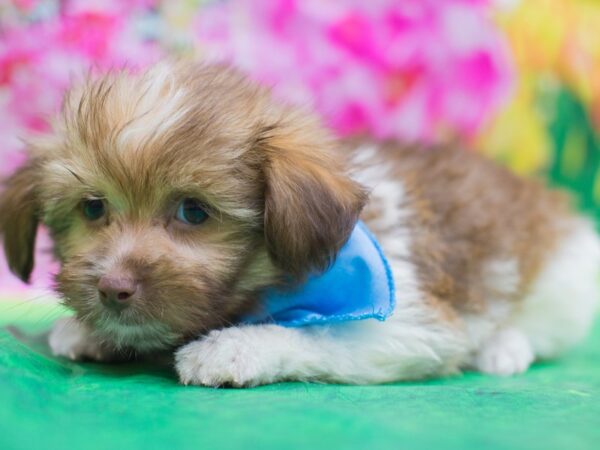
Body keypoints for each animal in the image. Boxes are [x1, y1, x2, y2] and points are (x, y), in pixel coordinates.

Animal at [0, 61, 596, 386]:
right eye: (92, 208)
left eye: (193, 211)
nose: (111, 288)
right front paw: (92, 331)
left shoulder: (405, 323)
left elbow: (314, 335)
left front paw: (231, 347)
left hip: (561, 283)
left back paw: (503, 348)